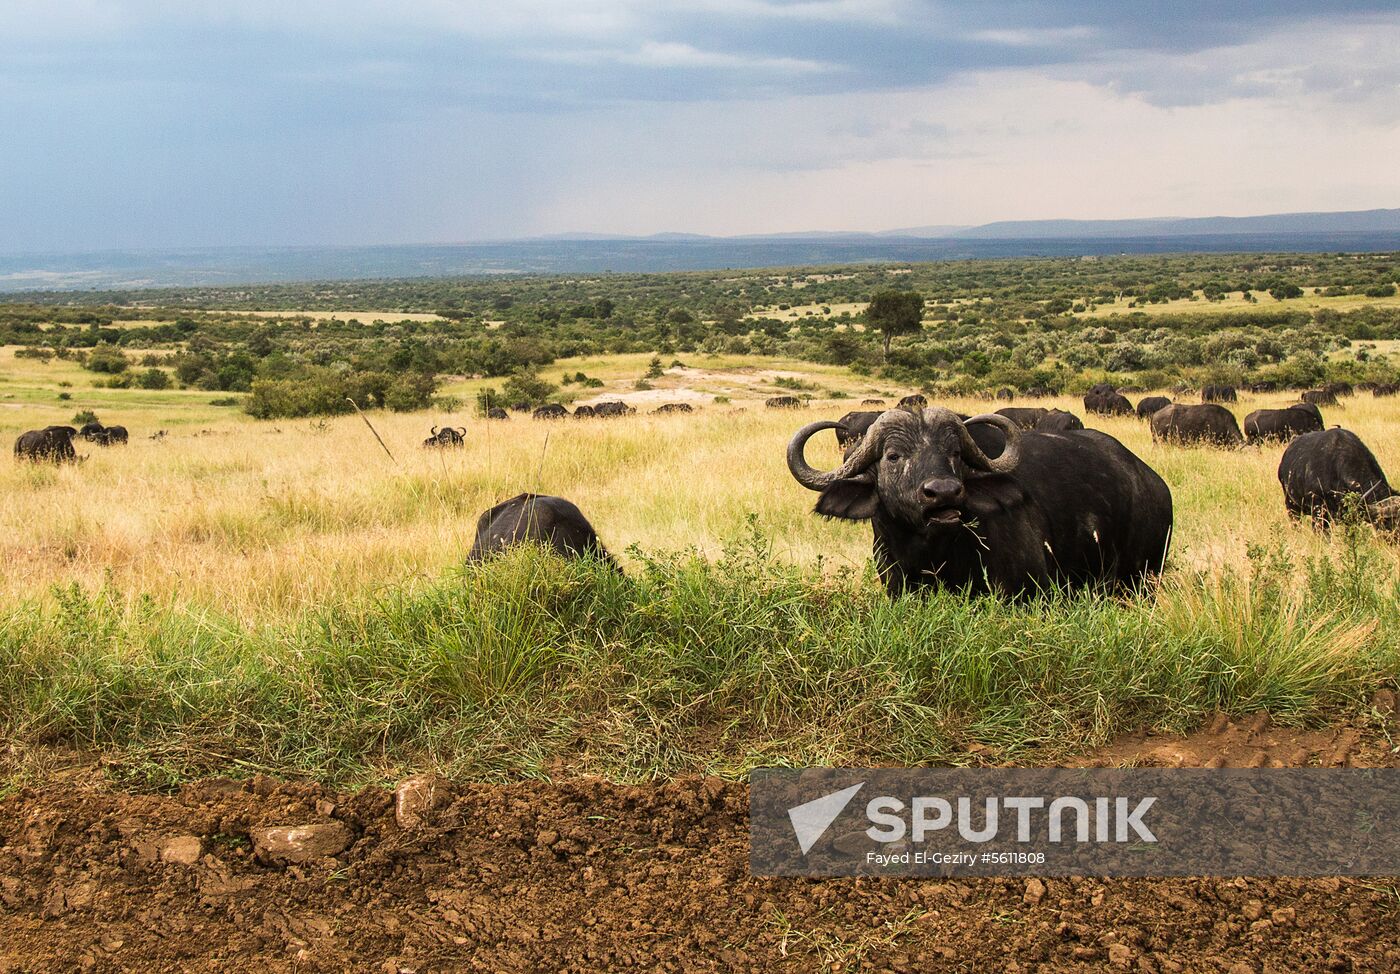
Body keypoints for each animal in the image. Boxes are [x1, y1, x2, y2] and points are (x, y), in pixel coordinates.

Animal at [789, 405, 1170, 601]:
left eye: (955, 453)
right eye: (893, 456)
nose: (944, 491)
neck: (933, 554)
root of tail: (1153, 483)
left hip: (1141, 577)